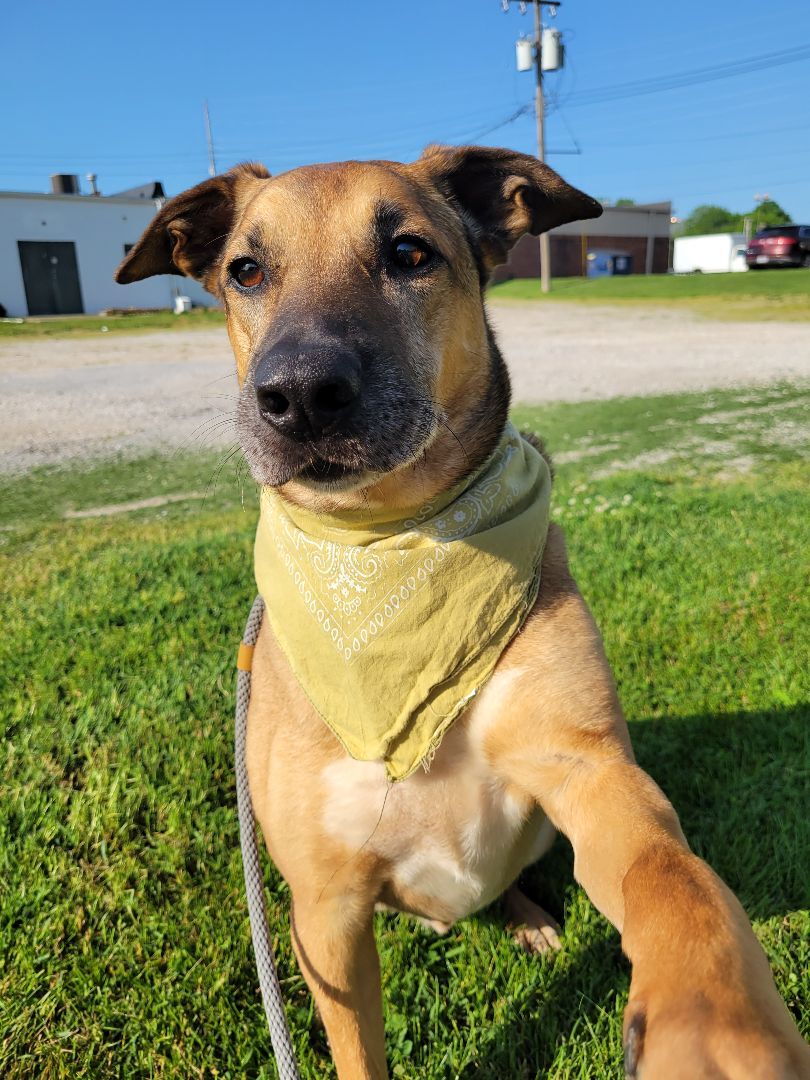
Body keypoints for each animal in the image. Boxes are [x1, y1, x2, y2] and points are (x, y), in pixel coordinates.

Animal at [115, 145, 810, 1080]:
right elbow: (356, 1050)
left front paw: (710, 1017)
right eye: (246, 271)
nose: (298, 394)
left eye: (410, 253)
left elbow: (674, 876)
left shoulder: (591, 773)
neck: (389, 544)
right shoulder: (324, 912)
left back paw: (528, 916)